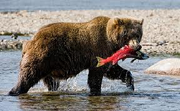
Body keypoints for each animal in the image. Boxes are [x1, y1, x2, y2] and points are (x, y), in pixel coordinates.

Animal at [8, 16, 143, 96]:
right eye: (128, 34)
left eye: (139, 34)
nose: (138, 46)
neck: (111, 40)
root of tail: (31, 40)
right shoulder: (99, 47)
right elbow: (96, 74)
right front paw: (96, 91)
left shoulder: (109, 54)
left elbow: (112, 70)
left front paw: (130, 84)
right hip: (42, 54)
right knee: (28, 74)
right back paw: (14, 91)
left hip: (49, 63)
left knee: (50, 81)